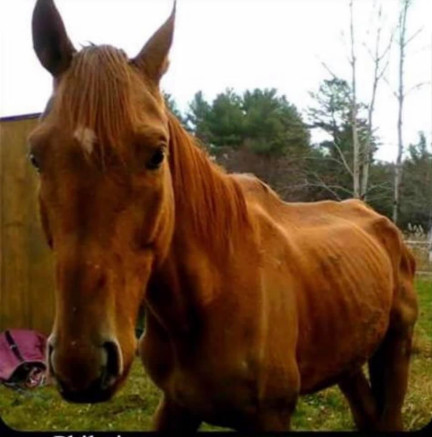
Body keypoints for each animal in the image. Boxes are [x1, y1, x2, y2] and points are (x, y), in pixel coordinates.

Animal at [29, 0, 418, 431]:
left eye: (157, 154)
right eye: (35, 156)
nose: (79, 361)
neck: (211, 291)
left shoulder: (272, 414)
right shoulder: (176, 404)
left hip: (396, 348)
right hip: (346, 358)